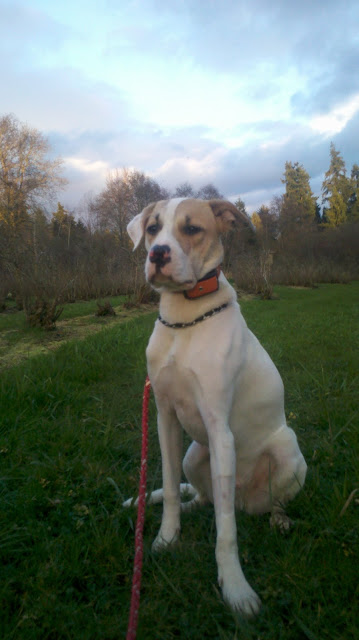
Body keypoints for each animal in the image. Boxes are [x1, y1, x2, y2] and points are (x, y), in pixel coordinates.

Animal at [125, 199, 308, 616]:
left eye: (192, 229)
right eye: (153, 228)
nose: (158, 254)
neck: (184, 320)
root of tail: (244, 499)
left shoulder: (219, 428)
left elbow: (226, 530)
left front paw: (236, 589)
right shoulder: (165, 419)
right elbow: (170, 491)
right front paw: (165, 538)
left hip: (288, 450)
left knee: (264, 503)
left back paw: (279, 521)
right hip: (194, 454)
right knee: (203, 496)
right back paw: (192, 507)